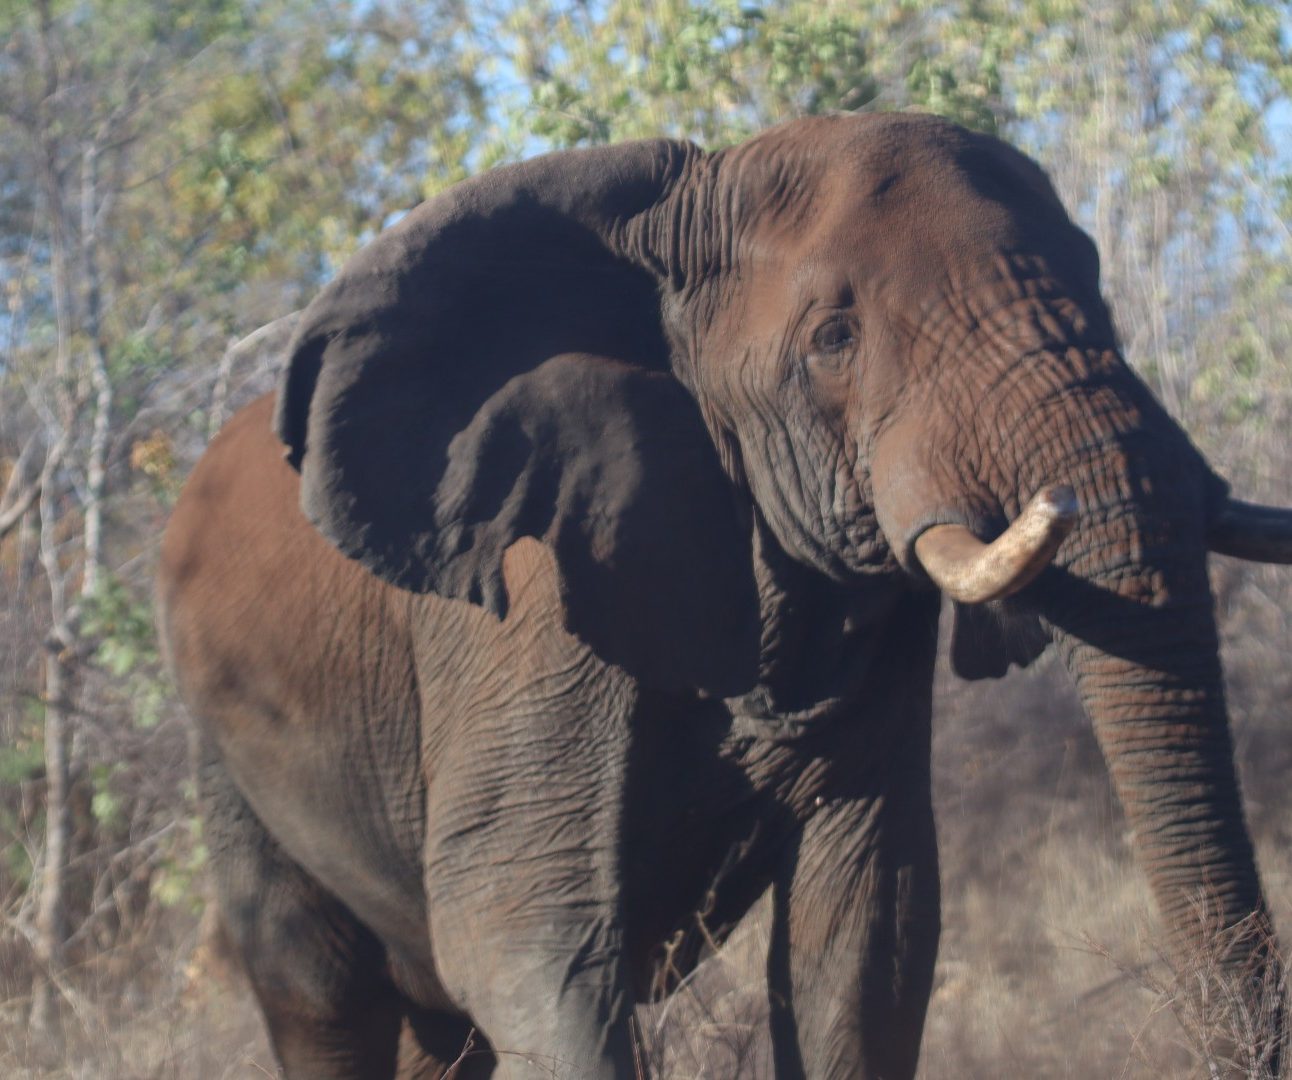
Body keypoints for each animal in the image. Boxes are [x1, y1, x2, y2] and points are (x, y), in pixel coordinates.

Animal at [158, 113, 1292, 1074]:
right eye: (833, 339)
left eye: (1097, 289)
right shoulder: (526, 616)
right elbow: (526, 938)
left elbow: (865, 935)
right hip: (227, 746)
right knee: (321, 996)